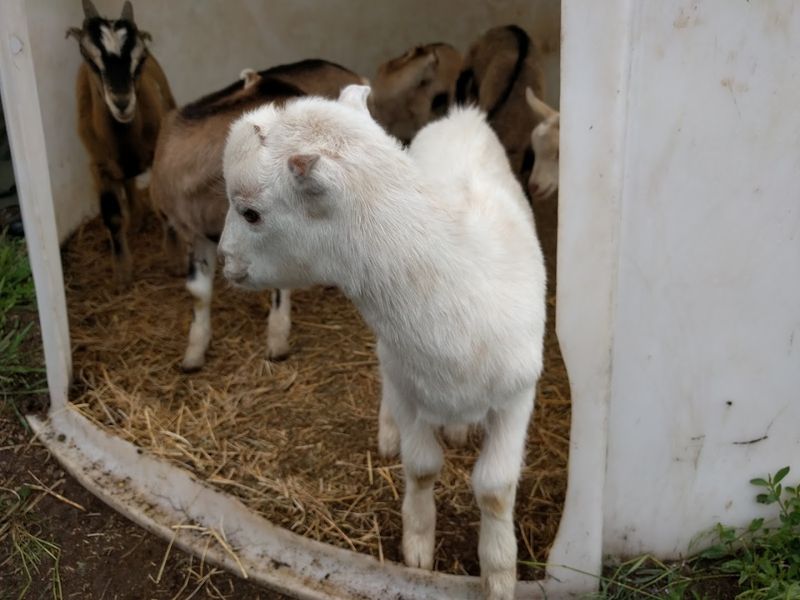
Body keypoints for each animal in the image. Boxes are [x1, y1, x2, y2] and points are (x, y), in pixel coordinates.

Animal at [68, 0, 176, 287]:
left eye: (141, 57)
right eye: (88, 57)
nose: (122, 101)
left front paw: (177, 259)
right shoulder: (99, 168)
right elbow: (112, 216)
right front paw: (123, 275)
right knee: (127, 182)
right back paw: (135, 220)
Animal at [219, 86, 546, 600]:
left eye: (251, 212)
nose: (223, 260)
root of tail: (462, 116)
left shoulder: (518, 395)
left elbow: (494, 489)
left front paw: (499, 573)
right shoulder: (408, 386)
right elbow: (422, 467)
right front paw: (418, 546)